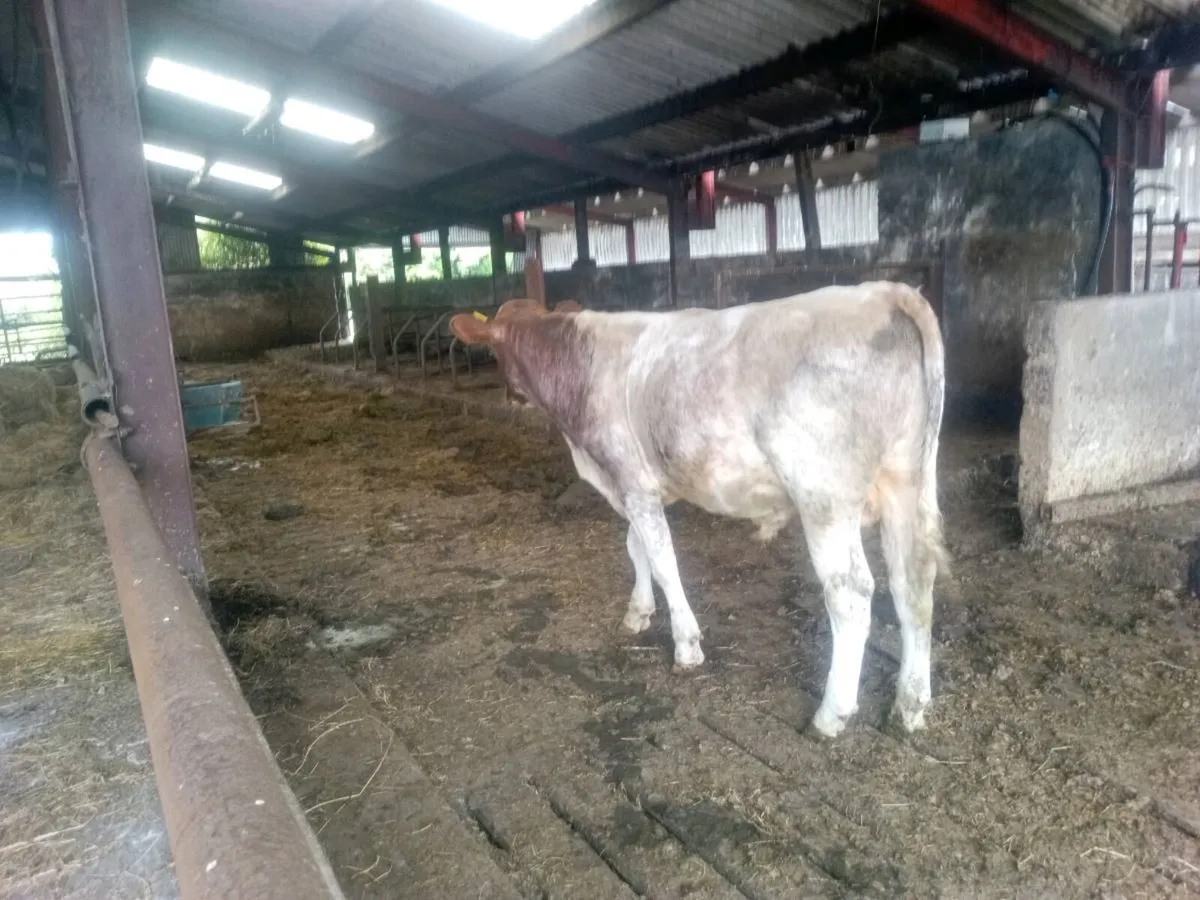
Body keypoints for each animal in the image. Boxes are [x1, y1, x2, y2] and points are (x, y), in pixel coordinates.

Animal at [450, 282, 948, 738]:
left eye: (493, 349)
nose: (510, 397)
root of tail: (883, 292)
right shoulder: (635, 488)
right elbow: (636, 549)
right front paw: (638, 612)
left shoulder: (630, 481)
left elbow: (663, 561)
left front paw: (686, 645)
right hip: (908, 481)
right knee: (914, 583)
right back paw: (911, 704)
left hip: (824, 495)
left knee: (851, 594)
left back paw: (832, 713)